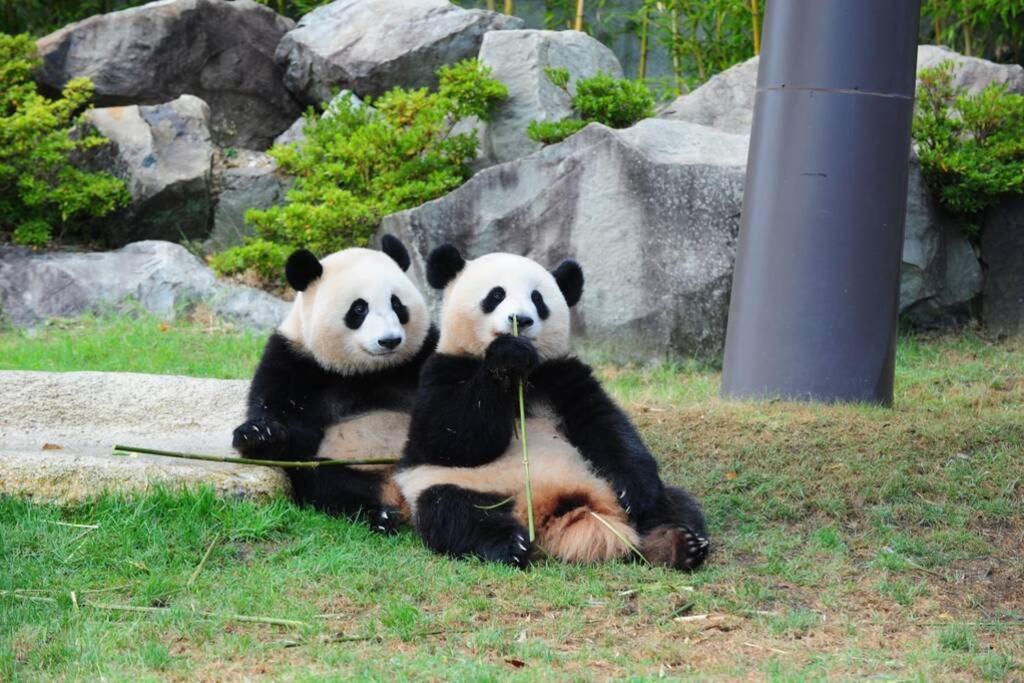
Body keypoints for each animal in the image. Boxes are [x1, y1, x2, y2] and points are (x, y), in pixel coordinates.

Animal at [232, 236, 436, 532]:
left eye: (397, 305)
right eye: (359, 308)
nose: (389, 341)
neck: (368, 370)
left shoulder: (423, 352)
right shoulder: (294, 360)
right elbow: (284, 423)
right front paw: (258, 433)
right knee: (328, 482)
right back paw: (381, 516)